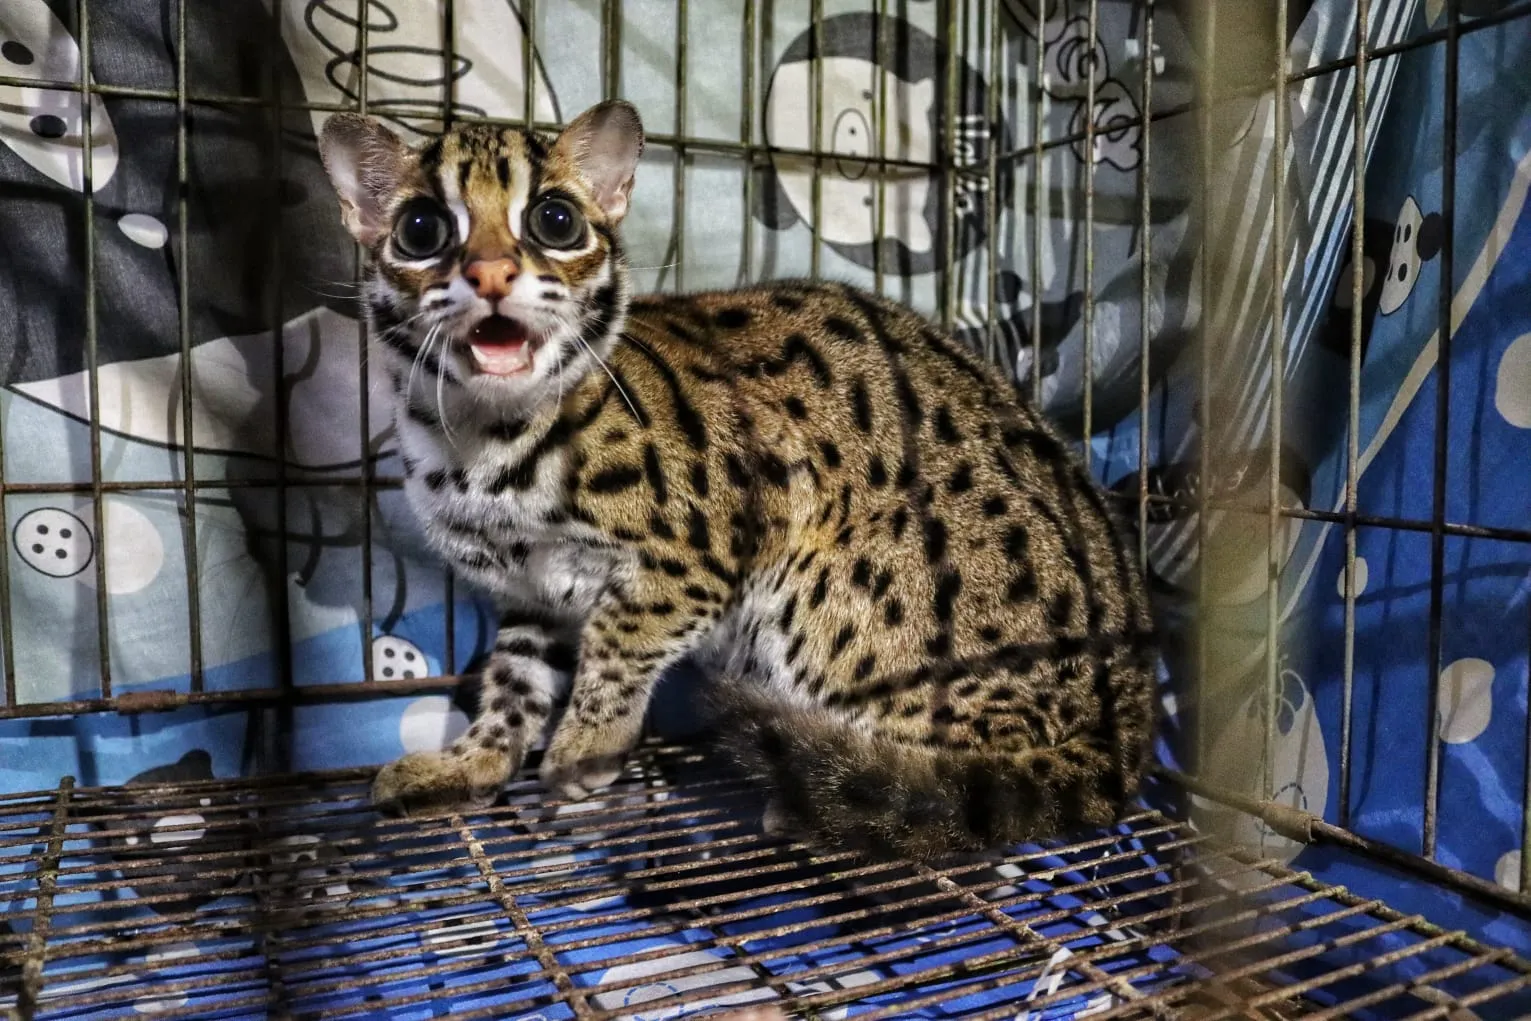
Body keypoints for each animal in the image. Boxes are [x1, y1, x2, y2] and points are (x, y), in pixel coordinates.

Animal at [316, 99, 1158, 861]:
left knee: (976, 780)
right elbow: (511, 685)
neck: (477, 442)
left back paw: (852, 788)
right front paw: (474, 760)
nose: (490, 271)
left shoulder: (699, 558)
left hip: (836, 591)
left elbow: (615, 645)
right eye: (421, 230)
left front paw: (588, 744)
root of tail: (1129, 722)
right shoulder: (530, 593)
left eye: (555, 221)